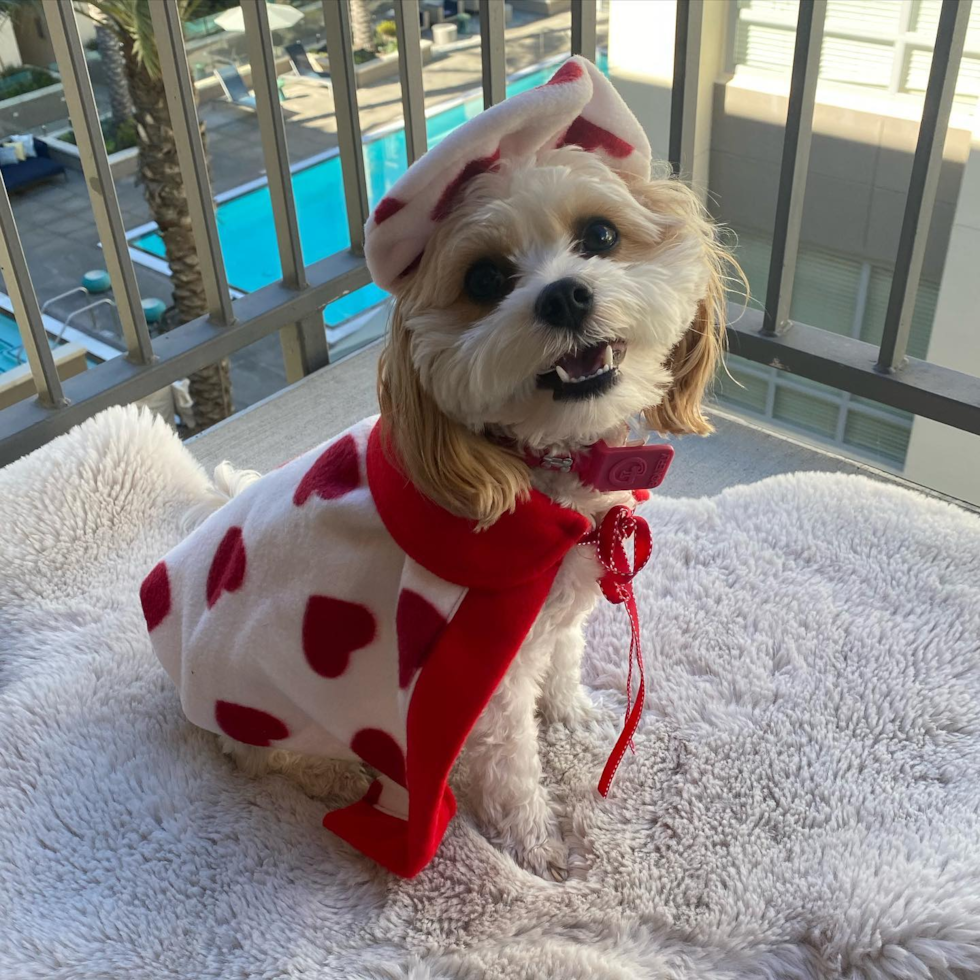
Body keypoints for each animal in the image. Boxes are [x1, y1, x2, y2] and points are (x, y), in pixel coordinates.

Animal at [145, 59, 728, 880]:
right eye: (484, 280)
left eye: (601, 235)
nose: (564, 294)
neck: (539, 474)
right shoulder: (481, 680)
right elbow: (512, 765)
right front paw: (540, 851)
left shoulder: (560, 606)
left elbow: (564, 657)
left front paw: (574, 715)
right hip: (261, 701)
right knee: (262, 753)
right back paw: (334, 773)